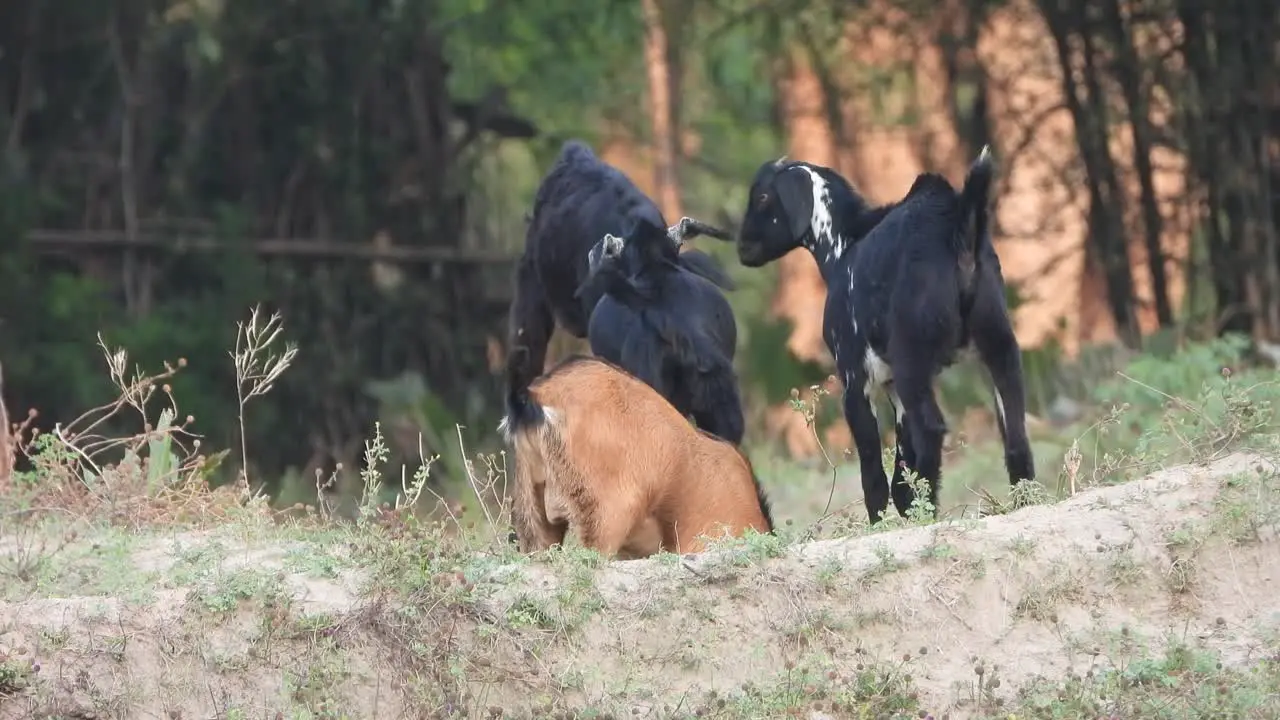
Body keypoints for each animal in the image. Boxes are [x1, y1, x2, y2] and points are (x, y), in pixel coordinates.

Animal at [737, 147, 1034, 520]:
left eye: (762, 196)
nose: (741, 246)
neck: (845, 246)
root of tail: (956, 228)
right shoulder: (894, 388)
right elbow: (901, 474)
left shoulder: (855, 381)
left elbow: (874, 474)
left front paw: (880, 524)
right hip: (999, 346)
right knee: (1016, 434)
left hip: (912, 358)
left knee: (932, 429)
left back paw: (929, 511)